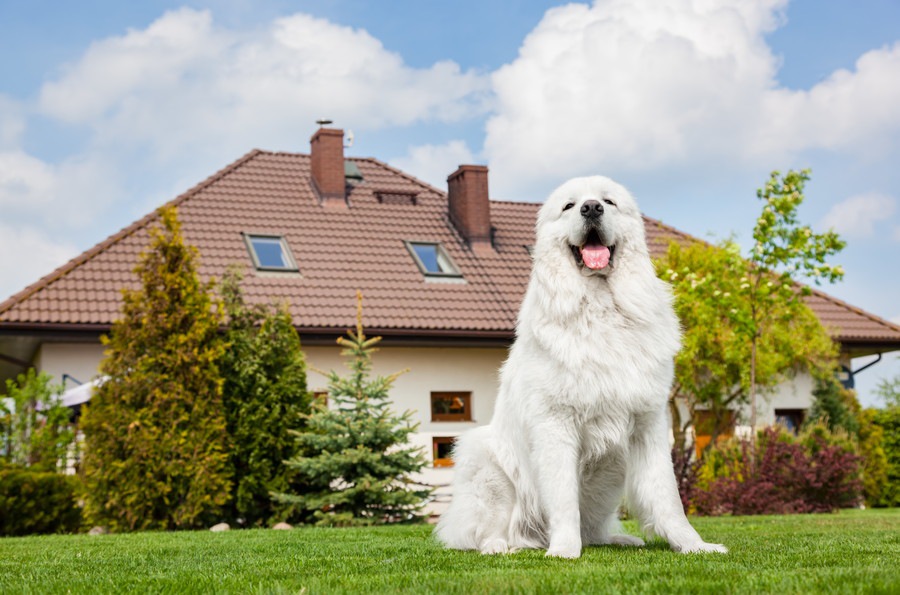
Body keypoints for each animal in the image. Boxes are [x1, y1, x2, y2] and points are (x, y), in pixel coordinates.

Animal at [438, 175, 732, 556]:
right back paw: (499, 545)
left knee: (593, 528)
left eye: (608, 201)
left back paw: (616, 539)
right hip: (486, 462)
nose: (591, 208)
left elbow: (668, 498)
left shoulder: (648, 426)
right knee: (485, 530)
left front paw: (693, 545)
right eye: (568, 205)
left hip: (610, 475)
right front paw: (564, 550)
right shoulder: (556, 426)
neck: (601, 304)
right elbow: (563, 499)